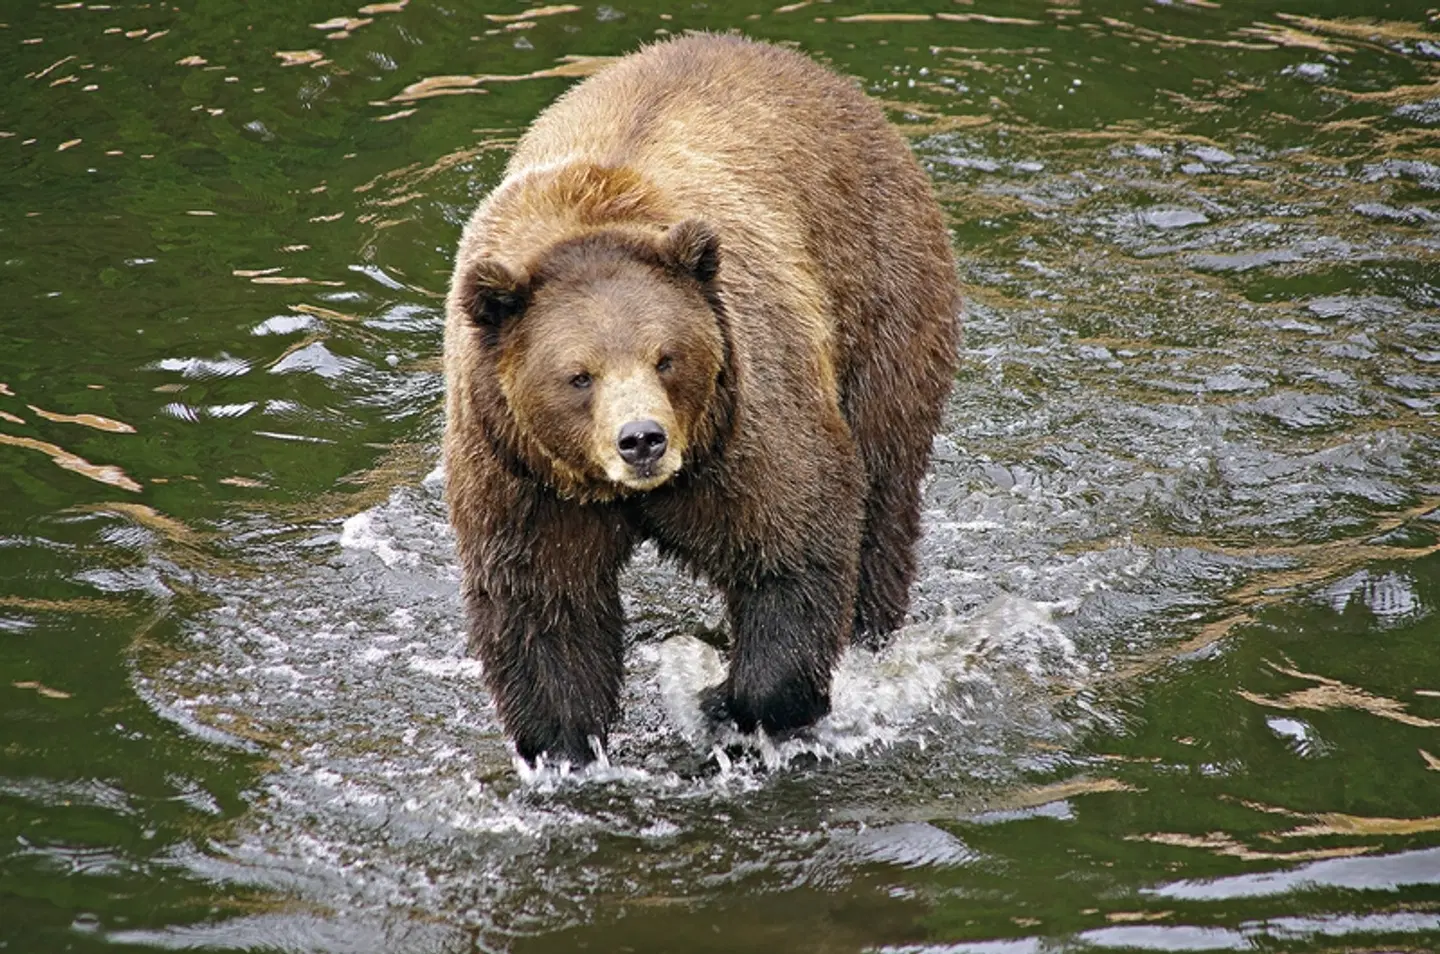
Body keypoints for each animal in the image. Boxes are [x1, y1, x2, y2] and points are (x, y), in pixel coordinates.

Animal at [444, 33, 960, 767]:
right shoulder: (518, 473)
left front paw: (727, 700)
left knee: (883, 492)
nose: (642, 439)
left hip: (881, 295)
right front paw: (565, 744)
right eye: (579, 375)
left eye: (666, 358)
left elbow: (795, 538)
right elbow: (543, 607)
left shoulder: (742, 418)